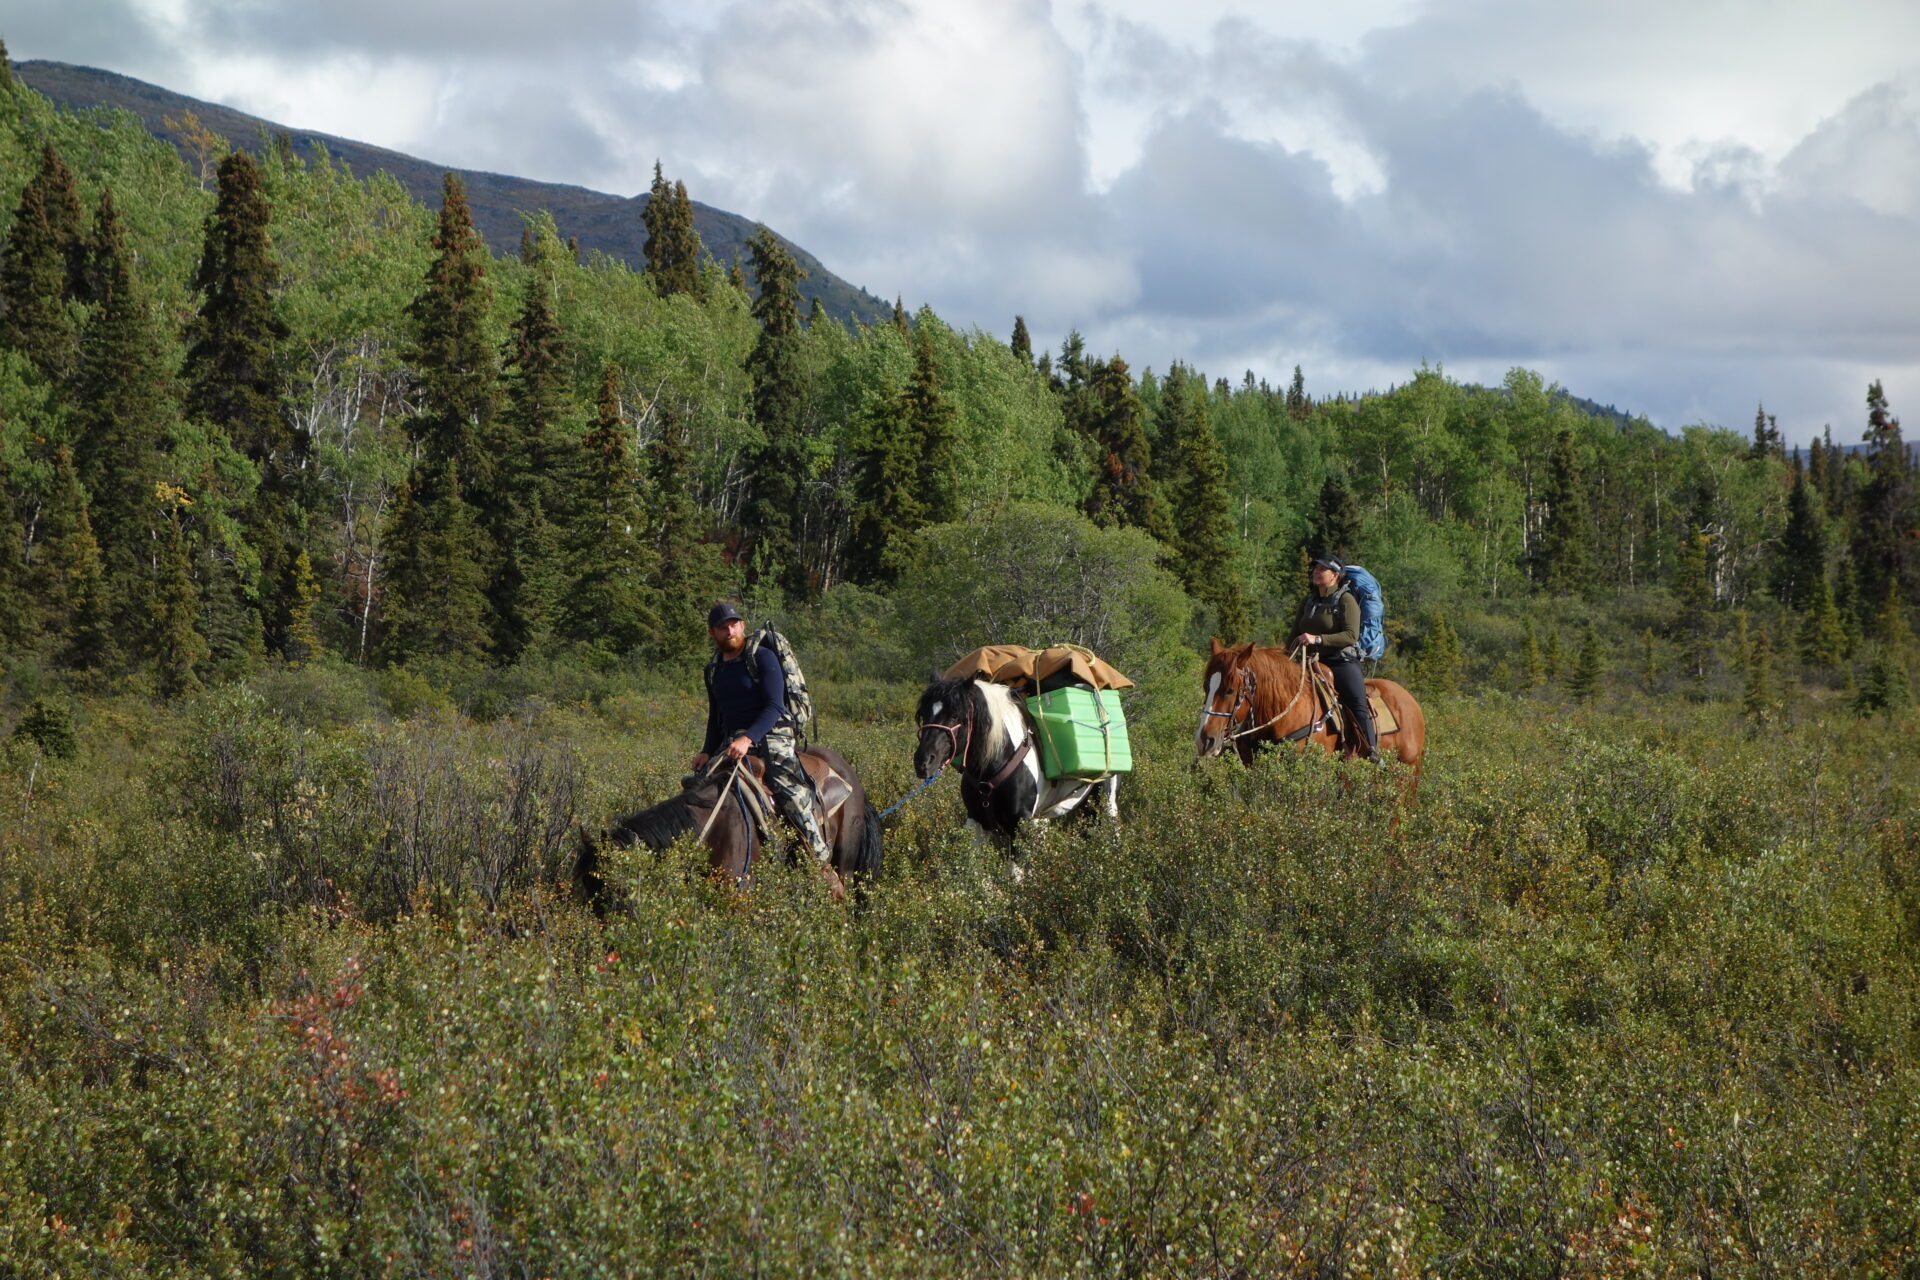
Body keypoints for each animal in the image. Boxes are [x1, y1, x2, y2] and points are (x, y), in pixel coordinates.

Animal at [913, 675, 1121, 844]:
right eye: (923, 714)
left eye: (956, 715)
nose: (922, 762)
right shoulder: (976, 822)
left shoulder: (1019, 827)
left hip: (1107, 803)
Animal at [1198, 640, 1428, 790]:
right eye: (1206, 686)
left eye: (1229, 690)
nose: (1204, 740)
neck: (1286, 714)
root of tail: (1413, 703)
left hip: (1405, 776)